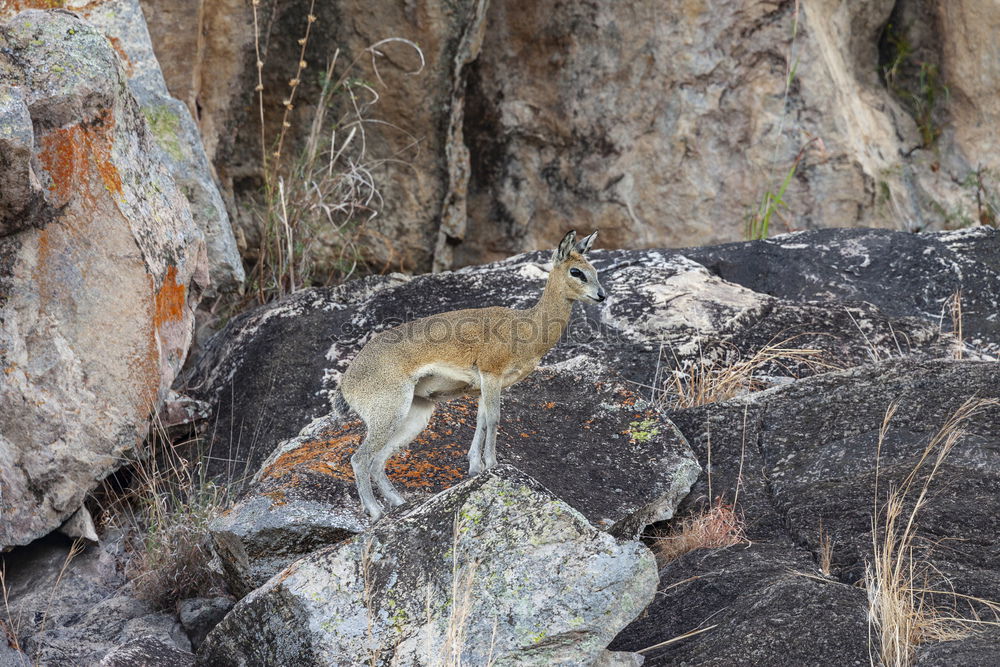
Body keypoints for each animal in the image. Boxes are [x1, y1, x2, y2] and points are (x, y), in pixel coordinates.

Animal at [336, 231, 604, 520]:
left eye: (595, 270)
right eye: (576, 271)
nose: (601, 295)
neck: (526, 328)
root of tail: (347, 383)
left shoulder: (484, 387)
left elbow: (481, 421)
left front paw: (476, 466)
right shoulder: (491, 375)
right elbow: (494, 419)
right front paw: (493, 464)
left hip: (415, 415)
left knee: (378, 460)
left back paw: (398, 503)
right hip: (389, 413)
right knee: (360, 459)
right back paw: (375, 511)